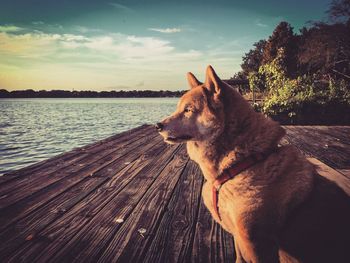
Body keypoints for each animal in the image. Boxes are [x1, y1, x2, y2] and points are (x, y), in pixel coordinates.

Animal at [157, 65, 350, 262]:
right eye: (178, 108)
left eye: (188, 110)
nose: (158, 125)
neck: (242, 162)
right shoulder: (239, 239)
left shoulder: (255, 242)